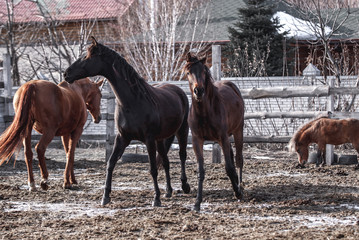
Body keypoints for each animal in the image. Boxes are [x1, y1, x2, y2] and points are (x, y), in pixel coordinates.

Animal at [63, 37, 191, 206]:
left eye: (87, 57)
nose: (66, 73)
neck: (133, 102)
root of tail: (178, 91)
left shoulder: (149, 139)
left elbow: (152, 168)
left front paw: (155, 198)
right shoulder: (122, 138)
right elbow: (110, 163)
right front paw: (105, 197)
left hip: (181, 131)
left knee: (182, 155)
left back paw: (185, 186)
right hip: (161, 139)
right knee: (166, 161)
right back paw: (168, 191)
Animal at [184, 53, 246, 211]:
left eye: (204, 72)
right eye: (188, 72)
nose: (198, 91)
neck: (205, 112)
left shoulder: (222, 137)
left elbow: (229, 167)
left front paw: (238, 192)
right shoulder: (197, 140)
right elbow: (201, 171)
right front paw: (197, 203)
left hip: (238, 131)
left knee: (238, 159)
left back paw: (240, 187)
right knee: (232, 155)